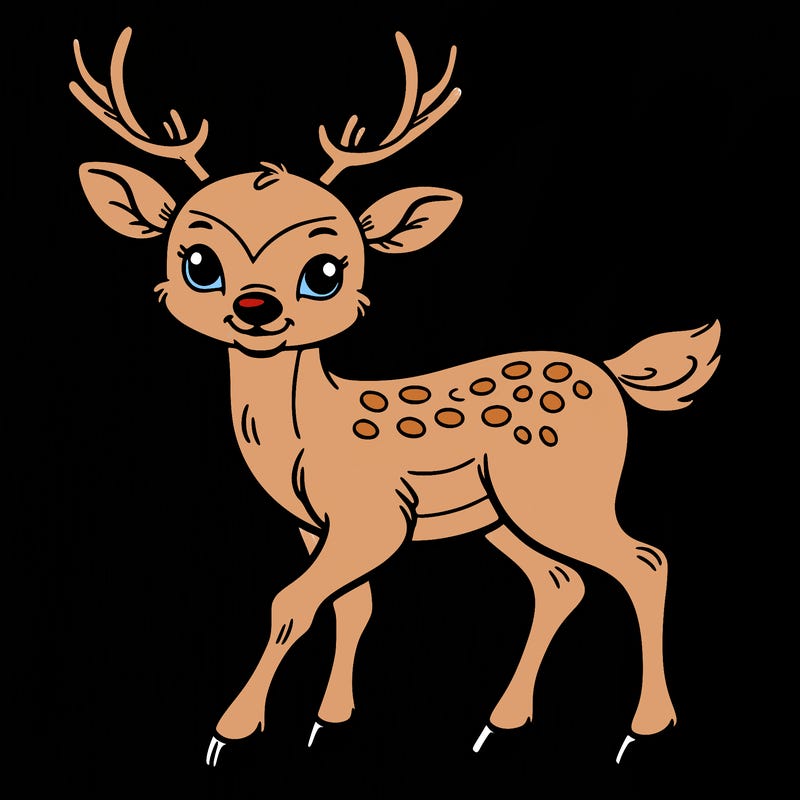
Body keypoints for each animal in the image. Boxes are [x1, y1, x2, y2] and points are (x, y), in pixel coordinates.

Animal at [69, 26, 721, 769]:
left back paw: (643, 728)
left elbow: (290, 603)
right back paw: (500, 723)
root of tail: (612, 374)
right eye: (198, 262)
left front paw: (229, 732)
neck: (304, 435)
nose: (256, 308)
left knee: (644, 561)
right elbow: (353, 605)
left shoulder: (374, 516)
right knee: (561, 581)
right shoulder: (315, 525)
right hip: (500, 514)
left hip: (562, 493)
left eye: (325, 270)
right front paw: (329, 720)